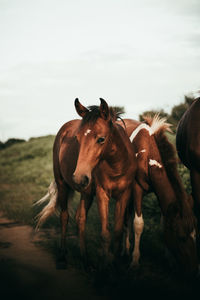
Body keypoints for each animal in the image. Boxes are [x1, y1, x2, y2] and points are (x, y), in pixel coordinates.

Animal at [35, 98, 137, 264]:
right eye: (77, 138)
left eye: (101, 139)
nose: (79, 177)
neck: (117, 167)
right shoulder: (102, 195)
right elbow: (105, 234)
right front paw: (106, 265)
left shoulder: (124, 195)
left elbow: (117, 232)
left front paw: (116, 264)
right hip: (63, 185)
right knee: (65, 217)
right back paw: (63, 256)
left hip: (87, 192)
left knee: (80, 218)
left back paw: (85, 259)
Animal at [119, 115, 198, 276]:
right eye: (181, 237)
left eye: (195, 235)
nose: (194, 270)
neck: (147, 153)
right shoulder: (137, 189)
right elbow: (138, 224)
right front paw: (135, 261)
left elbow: (164, 222)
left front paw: (169, 260)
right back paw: (125, 250)